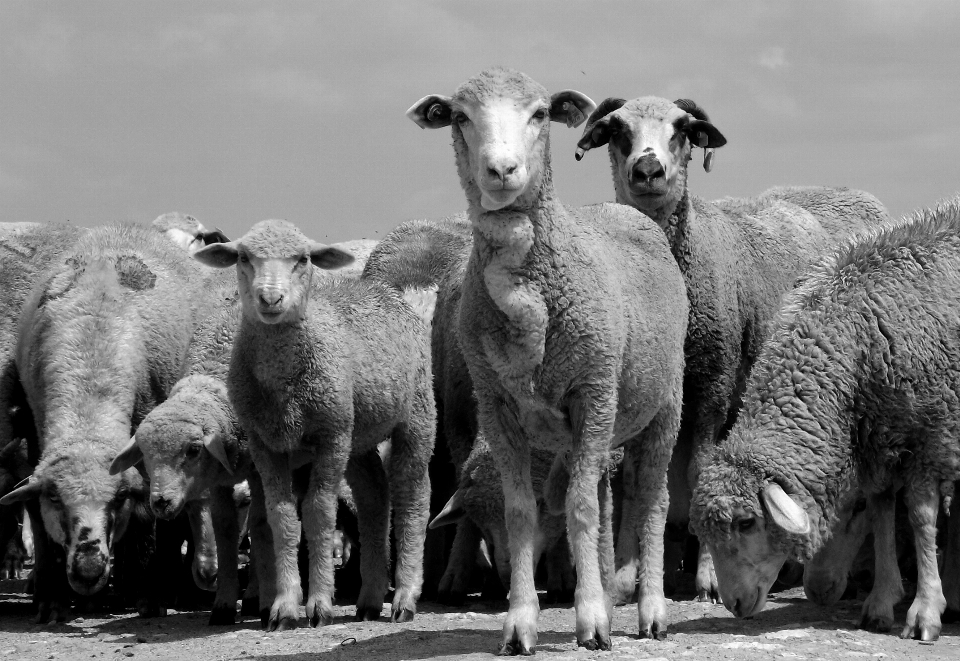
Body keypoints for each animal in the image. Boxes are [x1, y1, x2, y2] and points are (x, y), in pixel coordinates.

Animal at [0, 222, 221, 620]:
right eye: (54, 497)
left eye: (118, 498)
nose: (89, 571)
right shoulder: (37, 439)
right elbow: (40, 525)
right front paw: (53, 600)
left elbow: (147, 517)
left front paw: (148, 597)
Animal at [195, 220, 436, 628]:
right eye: (243, 257)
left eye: (303, 259)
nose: (270, 299)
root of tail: (383, 291)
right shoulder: (265, 443)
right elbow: (281, 517)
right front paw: (284, 606)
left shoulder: (330, 435)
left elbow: (319, 512)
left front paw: (319, 604)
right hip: (357, 430)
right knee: (374, 495)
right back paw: (370, 598)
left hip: (415, 413)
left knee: (412, 496)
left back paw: (404, 597)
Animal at [404, 68, 688, 648]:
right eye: (459, 117)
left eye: (539, 114)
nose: (502, 170)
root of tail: (622, 209)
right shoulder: (497, 406)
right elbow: (521, 512)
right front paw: (520, 622)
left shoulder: (592, 392)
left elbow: (580, 508)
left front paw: (593, 620)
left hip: (663, 405)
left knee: (652, 499)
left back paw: (650, 609)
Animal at [568, 95, 892, 600]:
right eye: (617, 130)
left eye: (681, 129)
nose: (647, 170)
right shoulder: (652, 390)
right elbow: (636, 481)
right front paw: (623, 576)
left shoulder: (714, 387)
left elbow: (698, 473)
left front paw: (708, 578)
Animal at [688, 200, 960, 640]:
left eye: (746, 523)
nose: (735, 605)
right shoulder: (879, 442)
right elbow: (883, 513)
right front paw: (881, 602)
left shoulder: (930, 434)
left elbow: (919, 517)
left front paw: (925, 610)